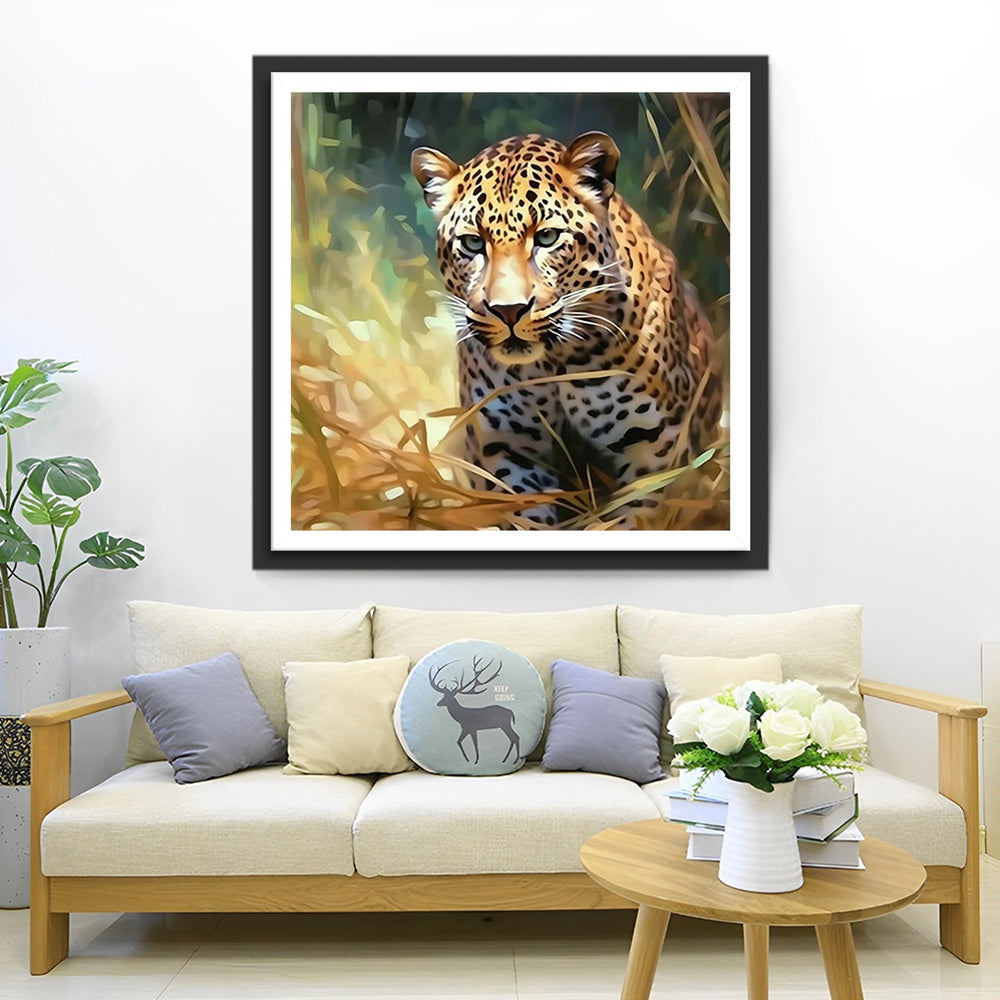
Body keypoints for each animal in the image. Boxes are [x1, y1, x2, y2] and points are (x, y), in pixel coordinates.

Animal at [412, 131, 722, 528]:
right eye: (472, 243)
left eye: (547, 238)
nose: (508, 311)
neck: (554, 363)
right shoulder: (508, 447)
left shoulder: (657, 448)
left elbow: (633, 517)